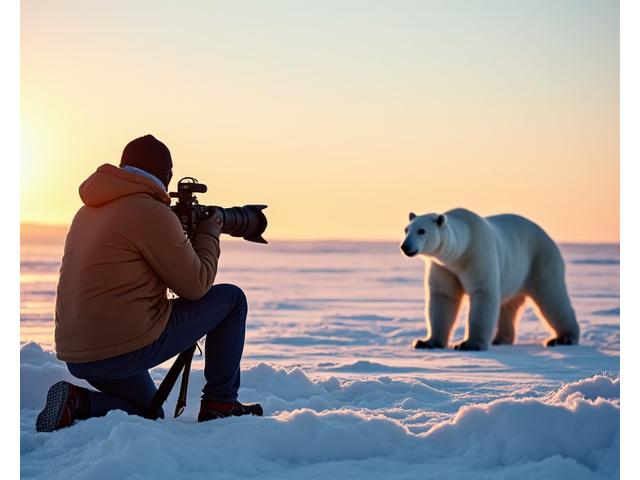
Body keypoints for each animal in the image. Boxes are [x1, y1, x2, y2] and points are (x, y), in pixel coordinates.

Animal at [400, 208, 579, 351]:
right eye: (406, 229)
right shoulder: (444, 268)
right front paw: (426, 342)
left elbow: (483, 292)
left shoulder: (477, 255)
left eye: (421, 230)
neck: (460, 252)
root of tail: (547, 236)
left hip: (541, 260)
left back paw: (563, 338)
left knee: (551, 297)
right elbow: (443, 297)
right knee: (508, 305)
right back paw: (500, 339)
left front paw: (469, 344)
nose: (405, 246)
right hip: (514, 275)